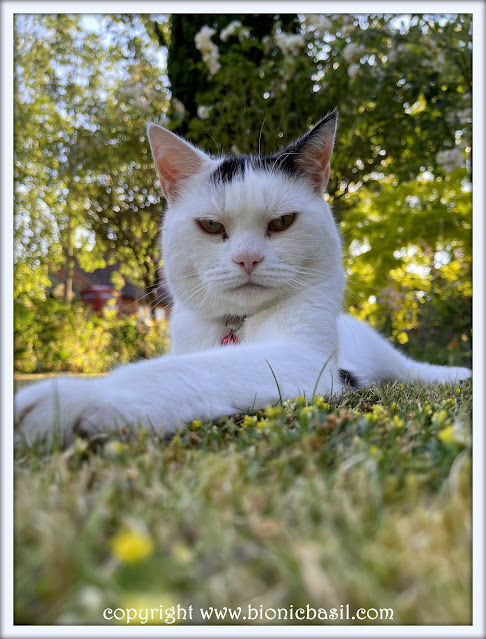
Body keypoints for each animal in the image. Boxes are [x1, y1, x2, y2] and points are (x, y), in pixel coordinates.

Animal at [14, 110, 471, 445]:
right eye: (211, 226)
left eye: (282, 222)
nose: (247, 259)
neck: (236, 325)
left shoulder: (306, 360)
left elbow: (196, 370)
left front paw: (74, 399)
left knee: (411, 370)